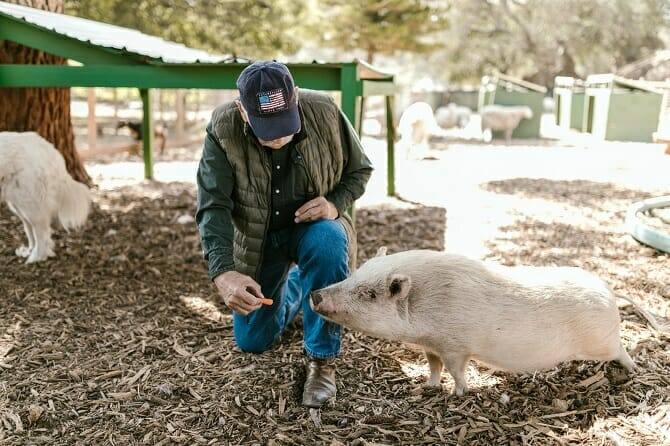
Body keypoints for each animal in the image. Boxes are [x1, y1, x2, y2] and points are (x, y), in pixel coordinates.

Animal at [0, 132, 90, 264]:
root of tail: (50, 150)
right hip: (21, 205)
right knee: (31, 230)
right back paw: (30, 252)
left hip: (30, 204)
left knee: (41, 232)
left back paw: (36, 258)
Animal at [310, 249, 636, 396]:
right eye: (354, 273)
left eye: (369, 294)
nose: (315, 294)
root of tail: (609, 291)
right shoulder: (432, 345)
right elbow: (433, 367)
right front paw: (426, 387)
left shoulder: (456, 347)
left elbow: (456, 370)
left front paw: (459, 393)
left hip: (604, 341)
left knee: (622, 350)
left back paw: (633, 370)